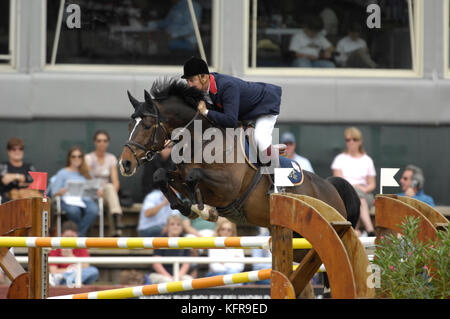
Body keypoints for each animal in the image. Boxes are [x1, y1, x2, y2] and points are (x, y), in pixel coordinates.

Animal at [118, 77, 358, 298]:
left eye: (146, 125)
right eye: (129, 126)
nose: (125, 164)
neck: (201, 141)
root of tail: (331, 188)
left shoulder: (228, 187)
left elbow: (195, 177)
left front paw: (202, 208)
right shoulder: (180, 176)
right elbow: (161, 176)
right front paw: (189, 207)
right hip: (299, 247)